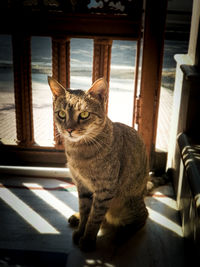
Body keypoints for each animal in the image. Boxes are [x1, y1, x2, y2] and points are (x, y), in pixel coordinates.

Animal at [48, 76, 148, 252]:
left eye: (84, 114)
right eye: (61, 114)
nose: (69, 129)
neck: (79, 150)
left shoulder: (105, 190)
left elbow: (94, 219)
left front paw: (87, 240)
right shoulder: (82, 186)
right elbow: (85, 211)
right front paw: (81, 229)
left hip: (127, 204)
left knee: (143, 217)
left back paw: (121, 235)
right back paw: (77, 217)